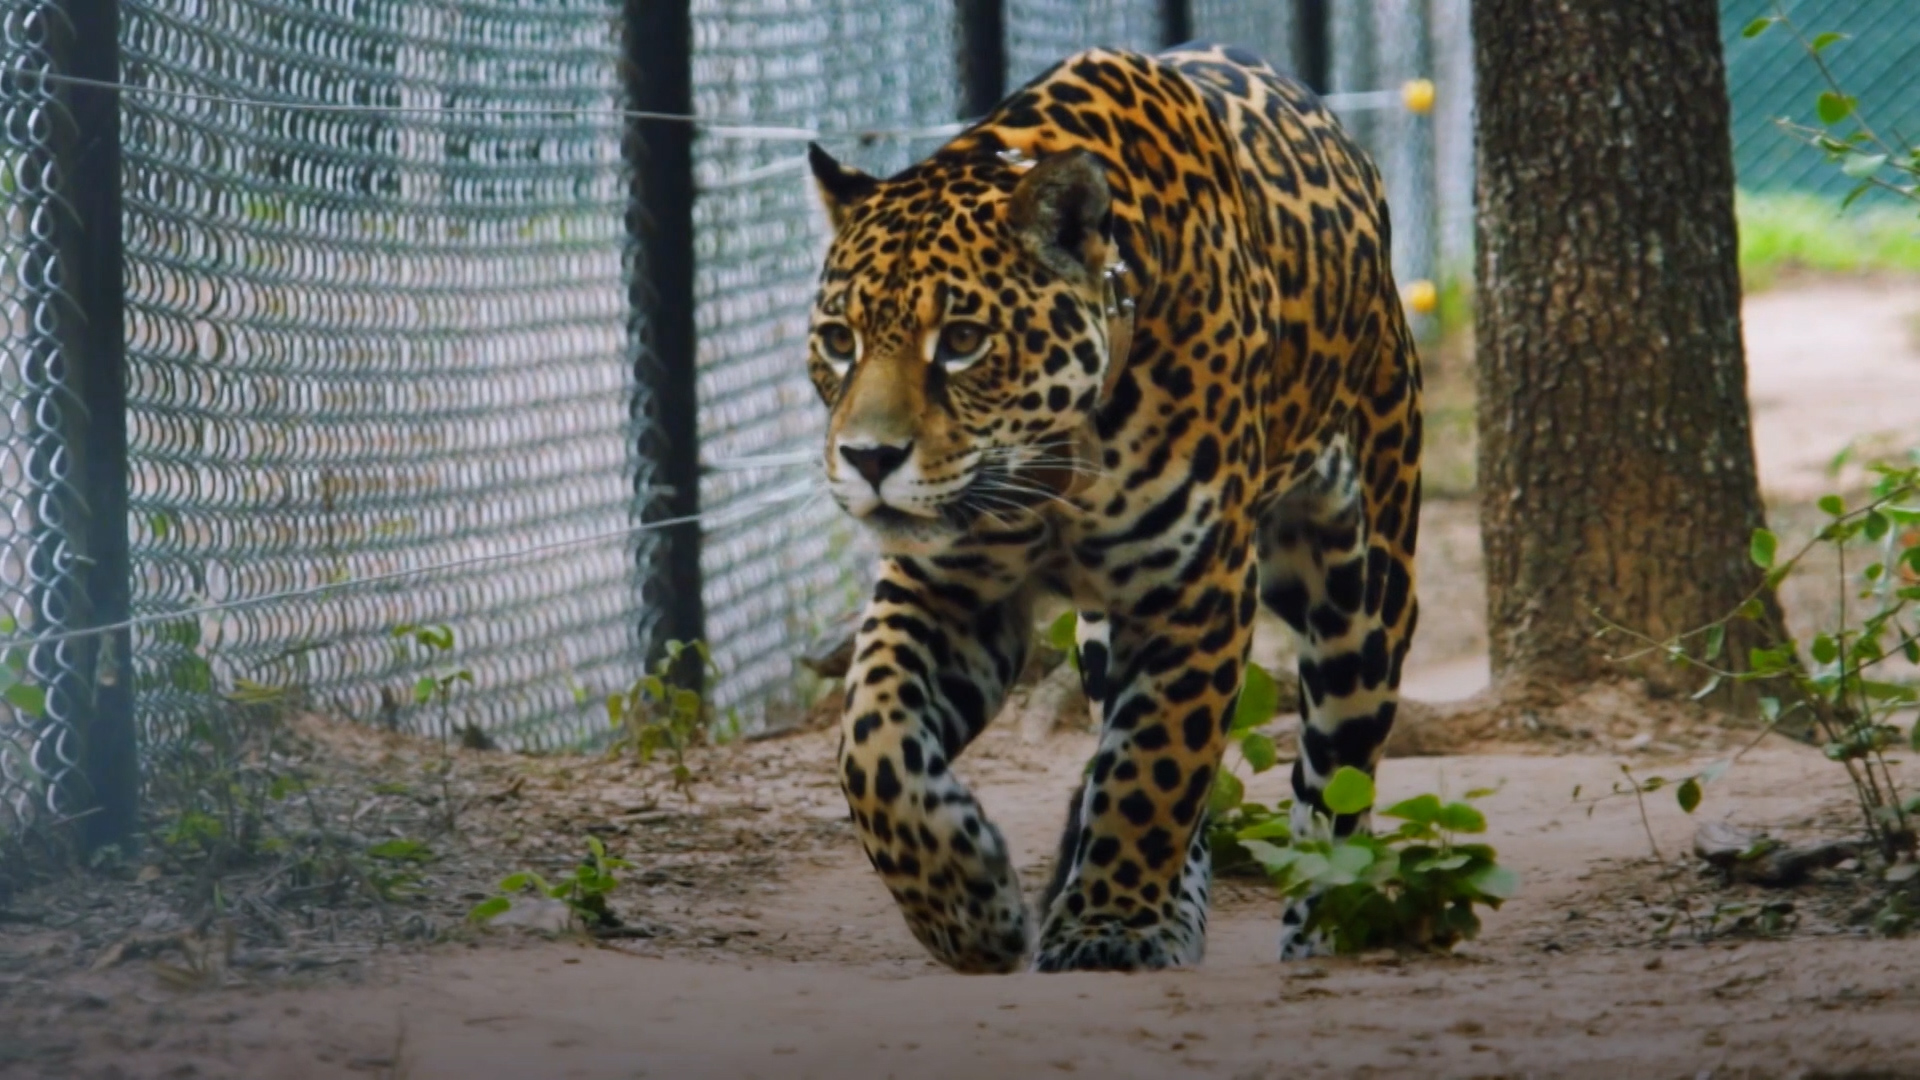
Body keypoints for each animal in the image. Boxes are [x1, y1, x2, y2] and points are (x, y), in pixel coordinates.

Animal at [802, 40, 1421, 973]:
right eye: (840, 340)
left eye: (964, 341)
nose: (870, 459)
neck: (1056, 466)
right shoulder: (944, 588)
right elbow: (871, 742)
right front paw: (968, 908)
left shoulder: (1197, 591)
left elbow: (1157, 768)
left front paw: (1111, 925)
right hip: (1102, 640)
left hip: (1365, 606)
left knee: (1333, 787)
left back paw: (1325, 923)